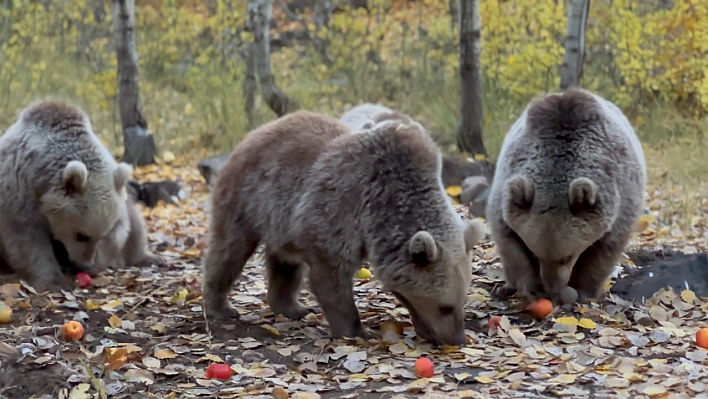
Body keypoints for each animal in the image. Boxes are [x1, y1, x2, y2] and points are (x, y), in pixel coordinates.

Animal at [0, 101, 133, 292]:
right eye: (81, 235)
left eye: (101, 235)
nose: (83, 265)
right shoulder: (18, 190)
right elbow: (27, 239)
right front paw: (55, 281)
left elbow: (118, 233)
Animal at [202, 111, 484, 346]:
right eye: (445, 307)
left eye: (463, 300)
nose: (457, 339)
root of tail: (257, 132)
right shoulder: (339, 208)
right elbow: (332, 277)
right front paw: (357, 331)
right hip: (248, 196)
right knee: (229, 250)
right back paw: (220, 306)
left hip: (280, 219)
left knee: (286, 262)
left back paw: (292, 307)